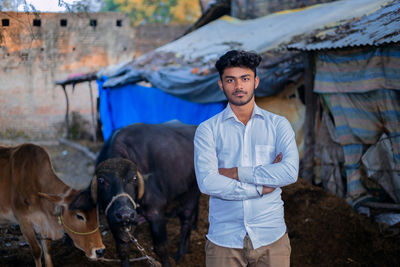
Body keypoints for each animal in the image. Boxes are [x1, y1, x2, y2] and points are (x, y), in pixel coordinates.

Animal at [93, 122, 199, 267]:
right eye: (101, 180)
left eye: (134, 178)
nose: (125, 214)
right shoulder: (113, 220)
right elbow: (122, 249)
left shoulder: (156, 212)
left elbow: (161, 248)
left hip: (192, 191)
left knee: (186, 220)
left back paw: (180, 254)